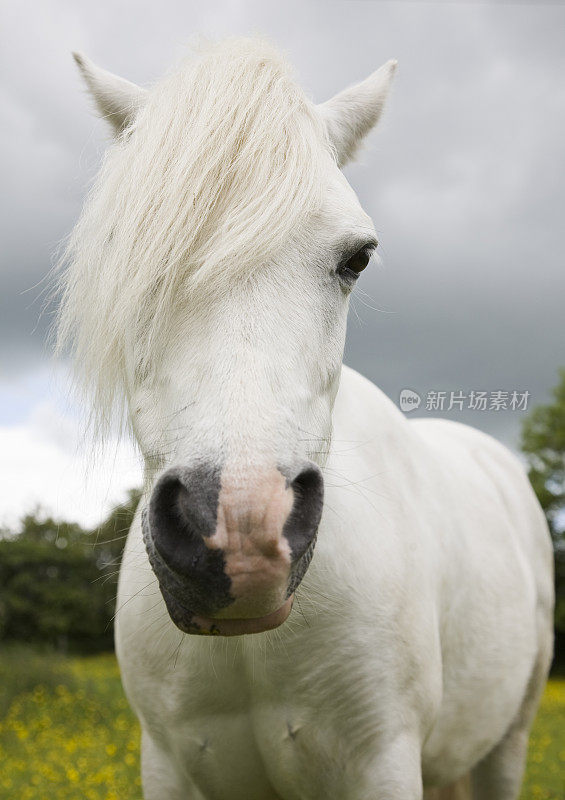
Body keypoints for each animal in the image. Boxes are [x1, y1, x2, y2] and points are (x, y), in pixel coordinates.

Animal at [59, 37, 552, 800]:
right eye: (127, 248)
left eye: (358, 258)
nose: (242, 529)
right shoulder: (164, 764)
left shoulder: (384, 761)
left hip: (507, 742)